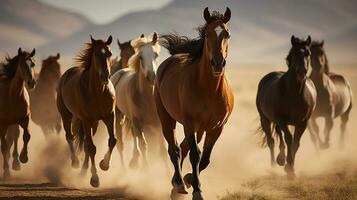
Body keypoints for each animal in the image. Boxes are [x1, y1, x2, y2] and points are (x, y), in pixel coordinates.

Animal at [0, 47, 36, 177]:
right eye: (22, 64)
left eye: (33, 64)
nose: (32, 83)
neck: (13, 96)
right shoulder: (2, 125)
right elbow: (4, 146)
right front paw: (6, 171)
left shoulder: (25, 120)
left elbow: (26, 136)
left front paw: (23, 158)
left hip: (14, 124)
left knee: (15, 138)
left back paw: (16, 163)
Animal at [56, 36, 115, 188]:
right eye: (96, 54)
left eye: (110, 53)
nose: (105, 76)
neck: (98, 92)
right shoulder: (87, 120)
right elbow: (92, 148)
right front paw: (95, 179)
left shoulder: (109, 117)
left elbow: (112, 141)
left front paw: (104, 164)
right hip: (67, 116)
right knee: (70, 137)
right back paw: (75, 162)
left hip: (94, 124)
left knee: (86, 144)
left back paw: (83, 171)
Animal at [110, 33, 167, 170]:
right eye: (140, 57)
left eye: (156, 54)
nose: (152, 77)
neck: (148, 99)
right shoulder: (137, 122)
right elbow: (143, 146)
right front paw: (146, 171)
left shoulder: (158, 123)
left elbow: (163, 149)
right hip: (119, 118)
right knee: (120, 144)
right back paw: (124, 168)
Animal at [156, 7, 234, 199]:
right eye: (207, 34)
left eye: (227, 34)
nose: (218, 63)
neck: (209, 90)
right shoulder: (190, 123)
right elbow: (195, 155)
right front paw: (197, 189)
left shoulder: (216, 128)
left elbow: (205, 158)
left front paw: (190, 178)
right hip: (167, 119)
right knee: (175, 149)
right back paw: (178, 184)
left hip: (200, 129)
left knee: (183, 148)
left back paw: (179, 183)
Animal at [254, 35, 316, 180]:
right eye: (294, 53)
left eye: (308, 53)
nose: (302, 71)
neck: (294, 93)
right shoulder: (282, 120)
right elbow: (288, 138)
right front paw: (288, 166)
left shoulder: (303, 122)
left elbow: (295, 143)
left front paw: (290, 167)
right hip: (265, 119)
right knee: (271, 140)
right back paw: (274, 164)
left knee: (278, 135)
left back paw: (281, 159)